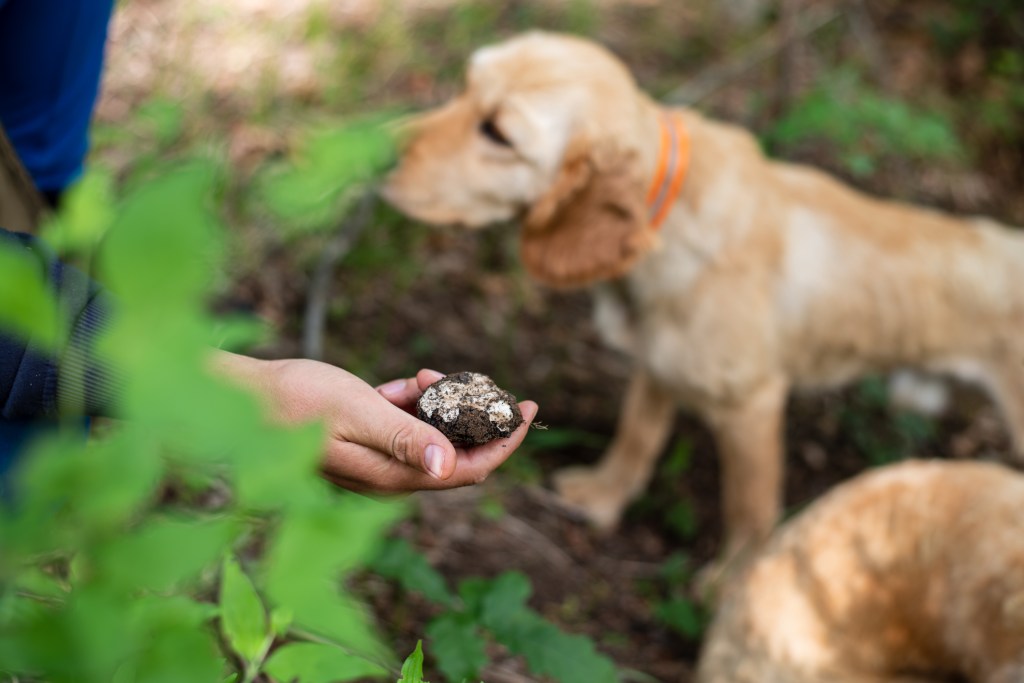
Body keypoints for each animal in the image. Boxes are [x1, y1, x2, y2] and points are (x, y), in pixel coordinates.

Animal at [382, 29, 1024, 569]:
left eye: (497, 133)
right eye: (465, 86)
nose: (376, 148)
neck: (669, 218)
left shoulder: (752, 403)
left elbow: (749, 505)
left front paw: (731, 582)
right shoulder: (659, 363)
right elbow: (638, 435)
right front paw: (604, 495)